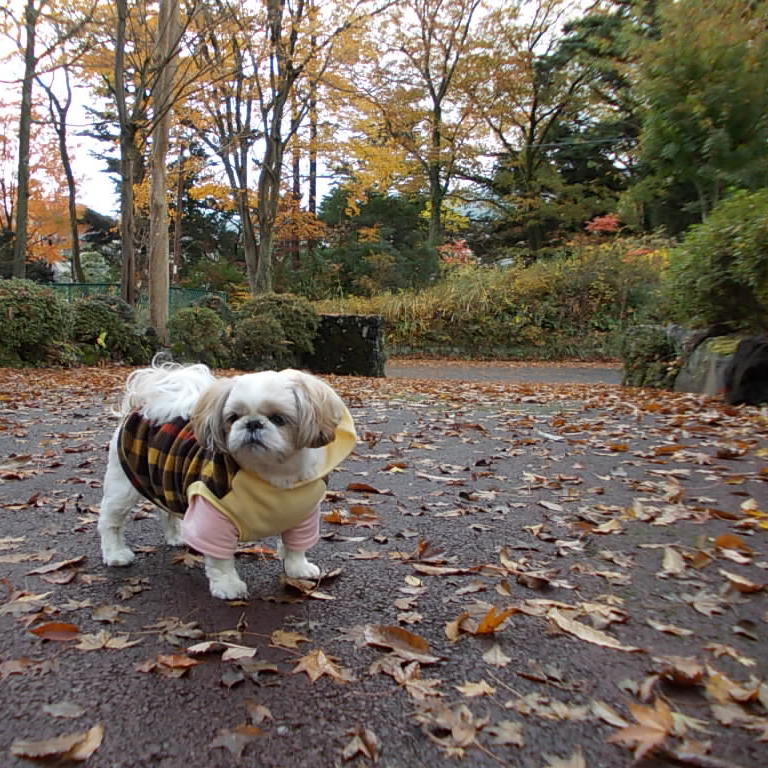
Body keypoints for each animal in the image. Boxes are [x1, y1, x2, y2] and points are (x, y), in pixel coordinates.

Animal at [97, 362, 356, 600]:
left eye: (278, 418)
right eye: (233, 418)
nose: (253, 423)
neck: (271, 474)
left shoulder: (302, 516)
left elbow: (296, 546)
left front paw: (298, 568)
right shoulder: (213, 513)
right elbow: (220, 560)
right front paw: (228, 585)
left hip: (165, 478)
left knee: (167, 510)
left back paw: (177, 537)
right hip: (123, 486)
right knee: (110, 522)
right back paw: (116, 554)